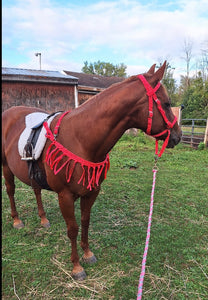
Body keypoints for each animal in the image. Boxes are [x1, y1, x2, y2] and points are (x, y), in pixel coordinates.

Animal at [1, 62, 180, 280]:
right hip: (6, 167)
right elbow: (73, 228)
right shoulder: (65, 195)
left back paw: (43, 219)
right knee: (11, 191)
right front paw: (77, 267)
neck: (81, 138)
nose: (178, 136)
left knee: (36, 190)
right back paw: (17, 221)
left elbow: (85, 222)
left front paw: (87, 254)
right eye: (167, 104)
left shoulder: (92, 191)